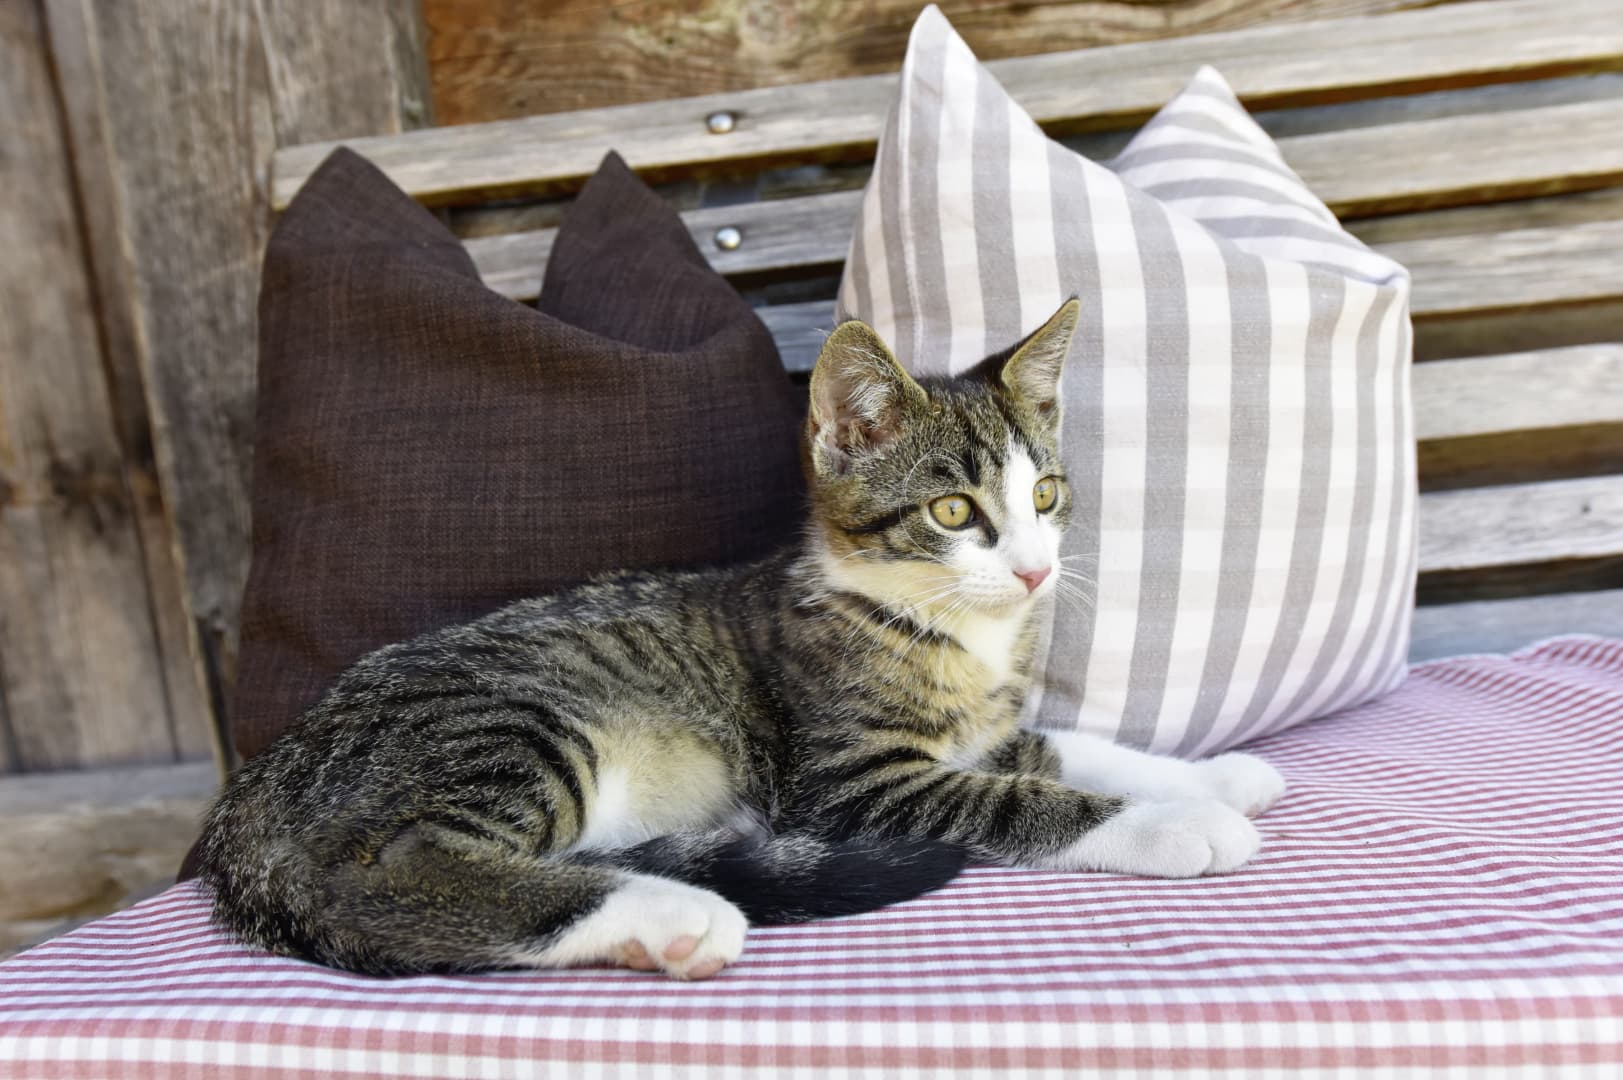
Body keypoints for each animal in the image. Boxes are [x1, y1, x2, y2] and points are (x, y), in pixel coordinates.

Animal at [197, 298, 1284, 981]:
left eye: (1047, 496)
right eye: (954, 510)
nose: (1033, 571)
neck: (942, 626)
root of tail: (249, 799)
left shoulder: (990, 727)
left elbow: (1071, 746)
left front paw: (1215, 775)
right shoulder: (847, 784)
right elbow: (1018, 797)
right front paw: (1174, 826)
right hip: (503, 721)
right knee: (383, 876)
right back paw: (668, 916)